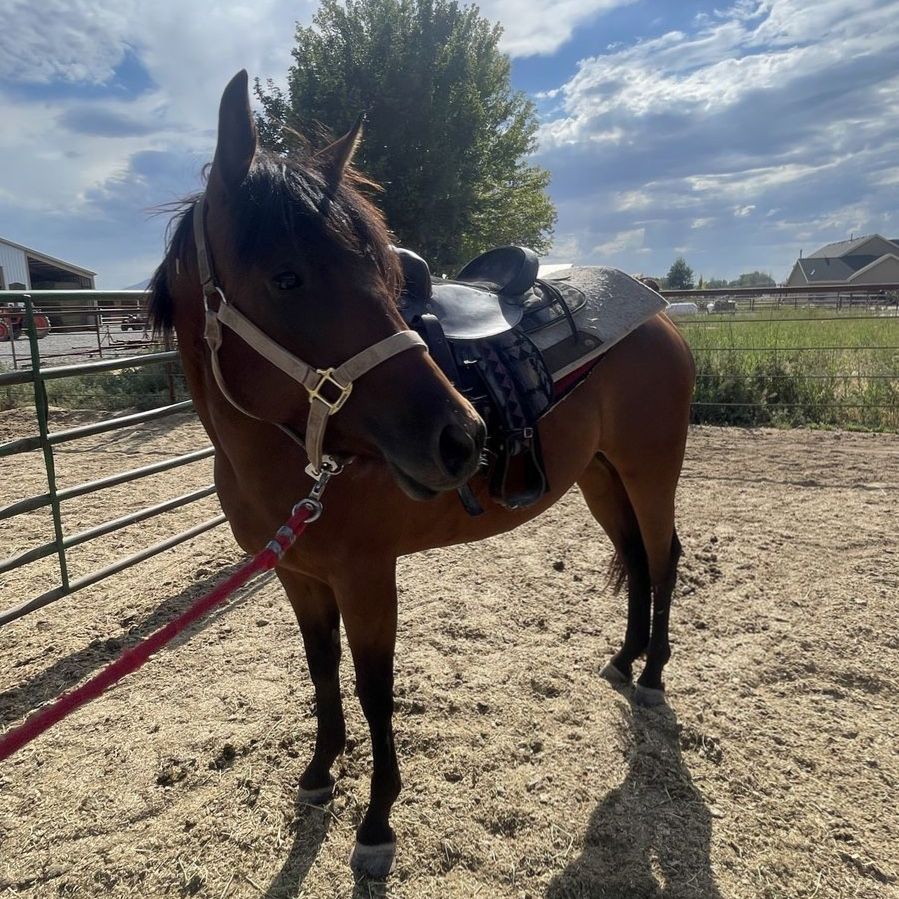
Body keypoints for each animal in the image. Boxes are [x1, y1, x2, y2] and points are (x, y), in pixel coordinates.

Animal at [149, 70, 695, 877]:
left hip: (649, 468)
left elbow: (375, 689)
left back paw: (654, 672)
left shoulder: (367, 576)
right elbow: (320, 669)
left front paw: (376, 821)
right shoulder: (297, 574)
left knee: (661, 557)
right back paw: (626, 658)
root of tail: (657, 310)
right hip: (600, 477)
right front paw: (320, 771)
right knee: (631, 553)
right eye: (287, 276)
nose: (462, 436)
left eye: (378, 272)